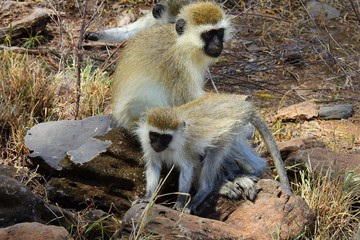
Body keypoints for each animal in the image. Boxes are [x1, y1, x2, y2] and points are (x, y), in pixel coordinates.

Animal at [111, 0, 232, 131]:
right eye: (208, 34)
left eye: (219, 32)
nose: (218, 44)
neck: (184, 45)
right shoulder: (179, 66)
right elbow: (192, 98)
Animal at [136, 93, 292, 213]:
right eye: (154, 135)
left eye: (166, 137)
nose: (157, 145)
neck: (171, 145)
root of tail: (240, 105)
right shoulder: (149, 147)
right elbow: (154, 166)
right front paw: (147, 197)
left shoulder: (184, 150)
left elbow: (187, 168)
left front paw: (181, 202)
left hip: (231, 129)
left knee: (218, 150)